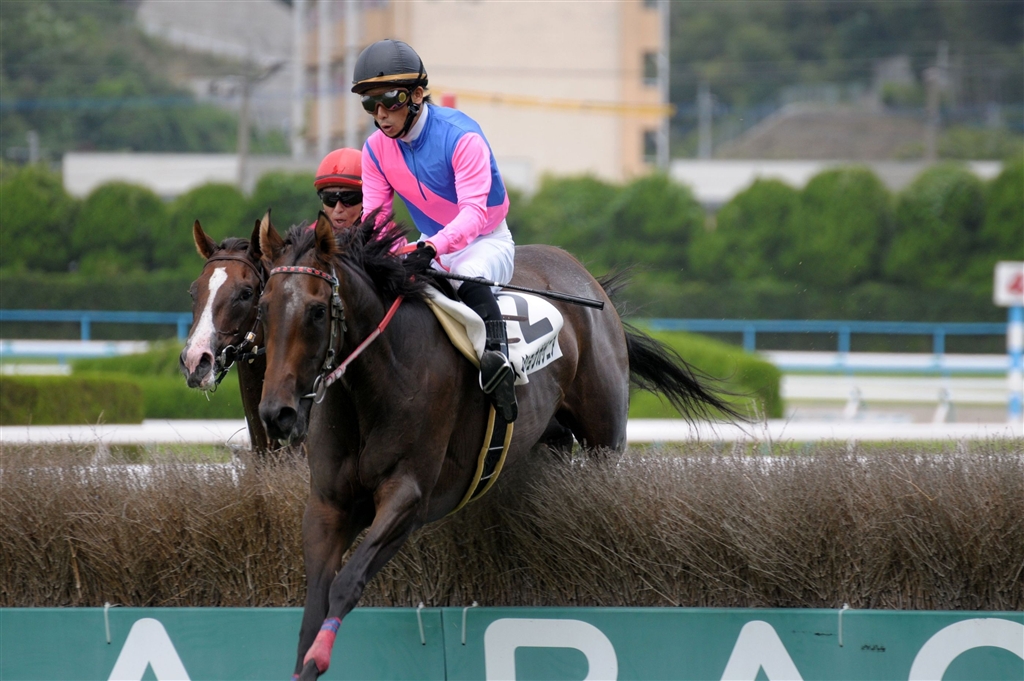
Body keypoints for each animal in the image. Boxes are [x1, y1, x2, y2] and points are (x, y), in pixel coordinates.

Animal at [257, 213, 735, 679]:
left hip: (605, 439)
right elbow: (314, 604)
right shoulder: (328, 504)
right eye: (263, 307)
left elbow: (346, 584)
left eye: (318, 311)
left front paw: (320, 655)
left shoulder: (409, 498)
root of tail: (585, 276)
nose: (277, 413)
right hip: (549, 442)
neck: (377, 381)